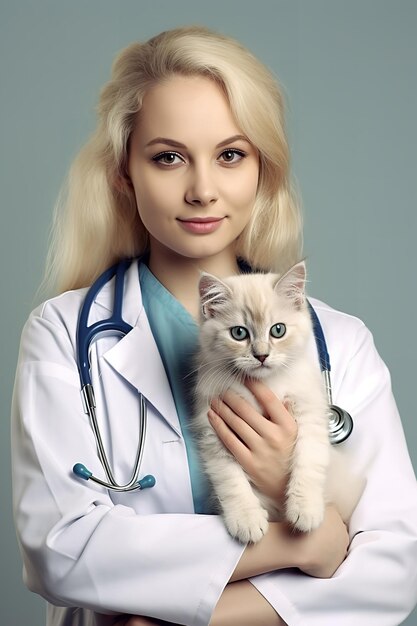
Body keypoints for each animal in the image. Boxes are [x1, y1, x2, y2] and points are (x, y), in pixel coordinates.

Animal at [192, 258, 360, 540]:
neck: (266, 384)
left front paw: (305, 510)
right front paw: (246, 519)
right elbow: (230, 479)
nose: (261, 355)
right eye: (239, 333)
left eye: (278, 330)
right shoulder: (213, 429)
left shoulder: (310, 414)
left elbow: (308, 461)